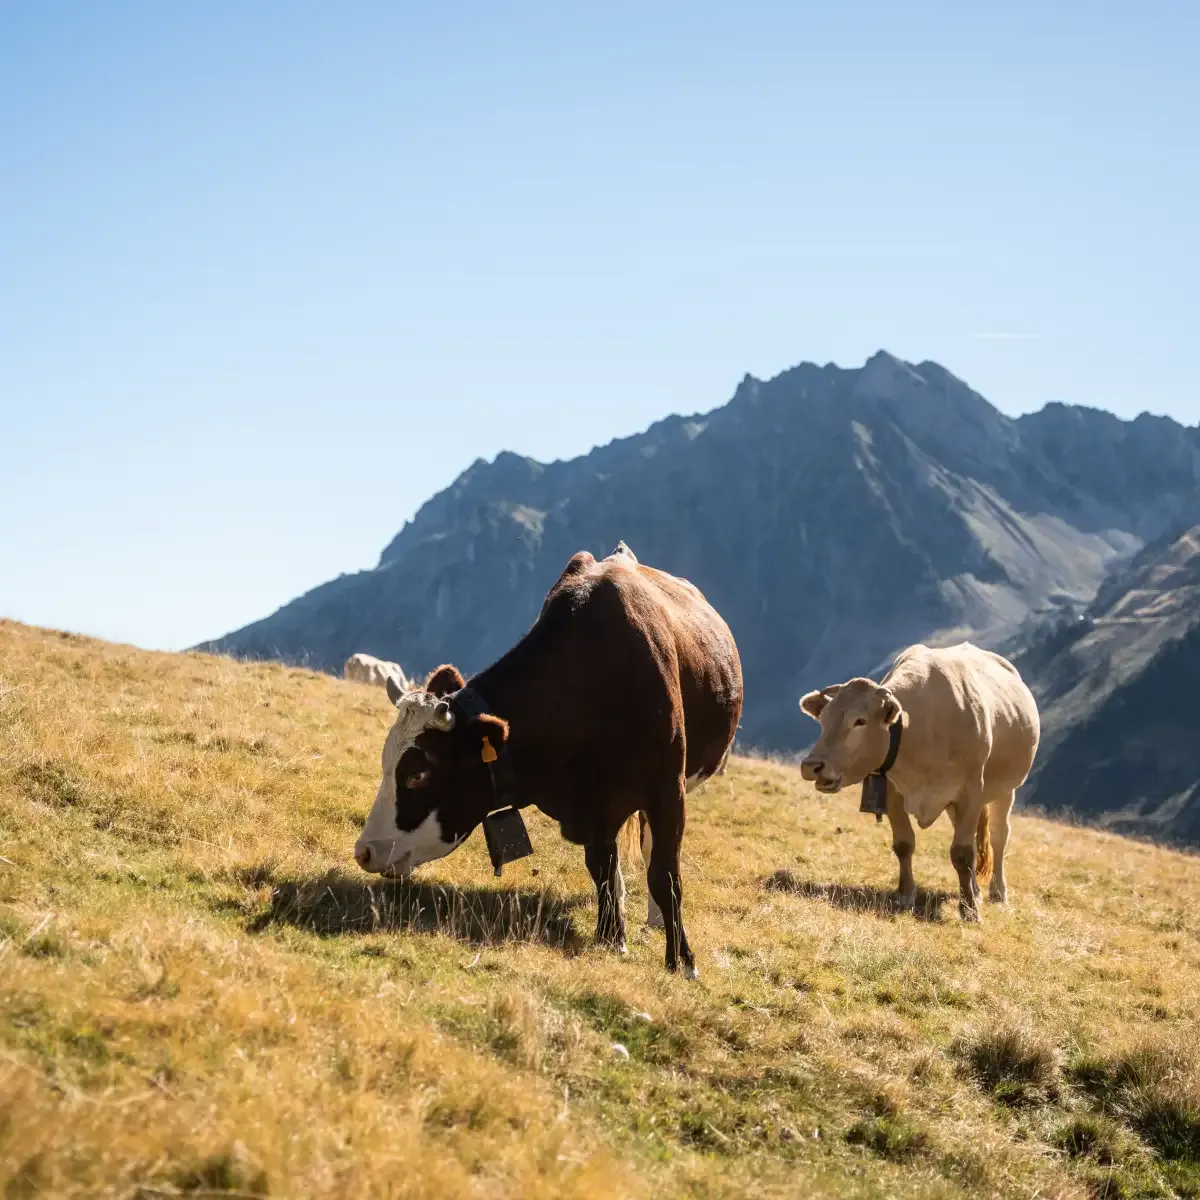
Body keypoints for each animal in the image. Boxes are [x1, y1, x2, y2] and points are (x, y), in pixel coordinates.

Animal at [353, 543, 743, 978]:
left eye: (418, 774)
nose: (364, 851)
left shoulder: (666, 790)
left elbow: (665, 874)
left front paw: (683, 962)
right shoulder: (593, 805)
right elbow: (601, 866)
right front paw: (611, 937)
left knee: (651, 852)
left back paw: (658, 919)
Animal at [798, 642, 1039, 922]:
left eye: (860, 721)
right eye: (823, 719)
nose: (811, 766)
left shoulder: (970, 791)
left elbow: (962, 853)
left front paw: (969, 911)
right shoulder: (892, 791)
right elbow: (905, 844)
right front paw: (905, 896)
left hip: (1006, 790)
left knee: (999, 837)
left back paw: (998, 892)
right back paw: (976, 890)